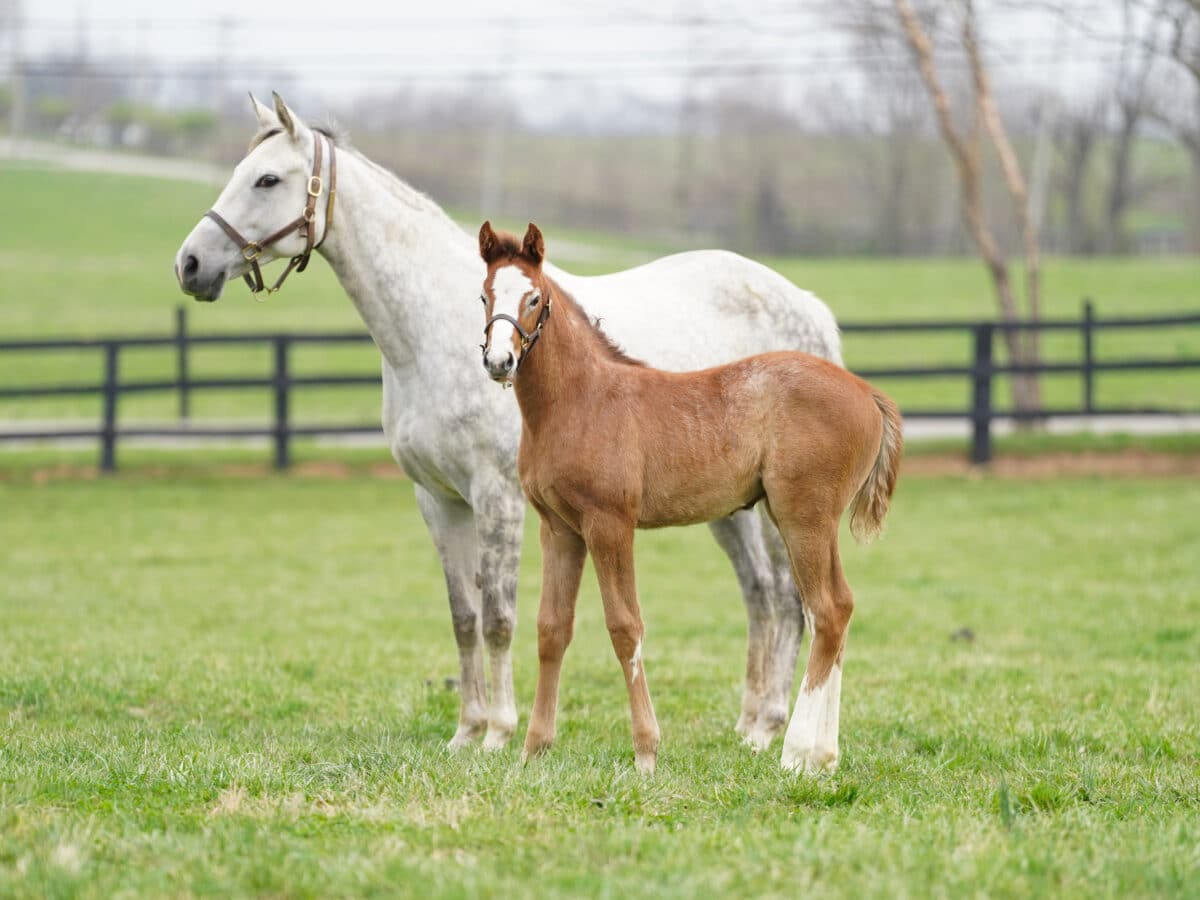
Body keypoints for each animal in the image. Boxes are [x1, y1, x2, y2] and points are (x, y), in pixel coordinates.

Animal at [174, 93, 844, 753]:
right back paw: (751, 722)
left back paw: (773, 727)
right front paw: (466, 731)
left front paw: (499, 731)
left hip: (775, 506)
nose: (190, 264)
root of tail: (809, 308)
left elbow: (499, 615)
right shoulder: (438, 499)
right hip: (726, 507)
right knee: (760, 595)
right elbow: (464, 616)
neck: (432, 329)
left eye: (267, 179)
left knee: (790, 599)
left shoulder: (498, 496)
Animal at [477, 224, 902, 777]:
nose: (498, 362)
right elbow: (552, 628)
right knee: (841, 607)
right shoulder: (559, 528)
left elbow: (625, 627)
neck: (580, 400)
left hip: (802, 517)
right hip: (811, 520)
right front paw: (534, 750)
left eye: (533, 297)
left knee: (826, 611)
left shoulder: (609, 524)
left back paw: (795, 753)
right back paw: (824, 757)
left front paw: (645, 753)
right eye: (484, 295)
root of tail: (867, 393)